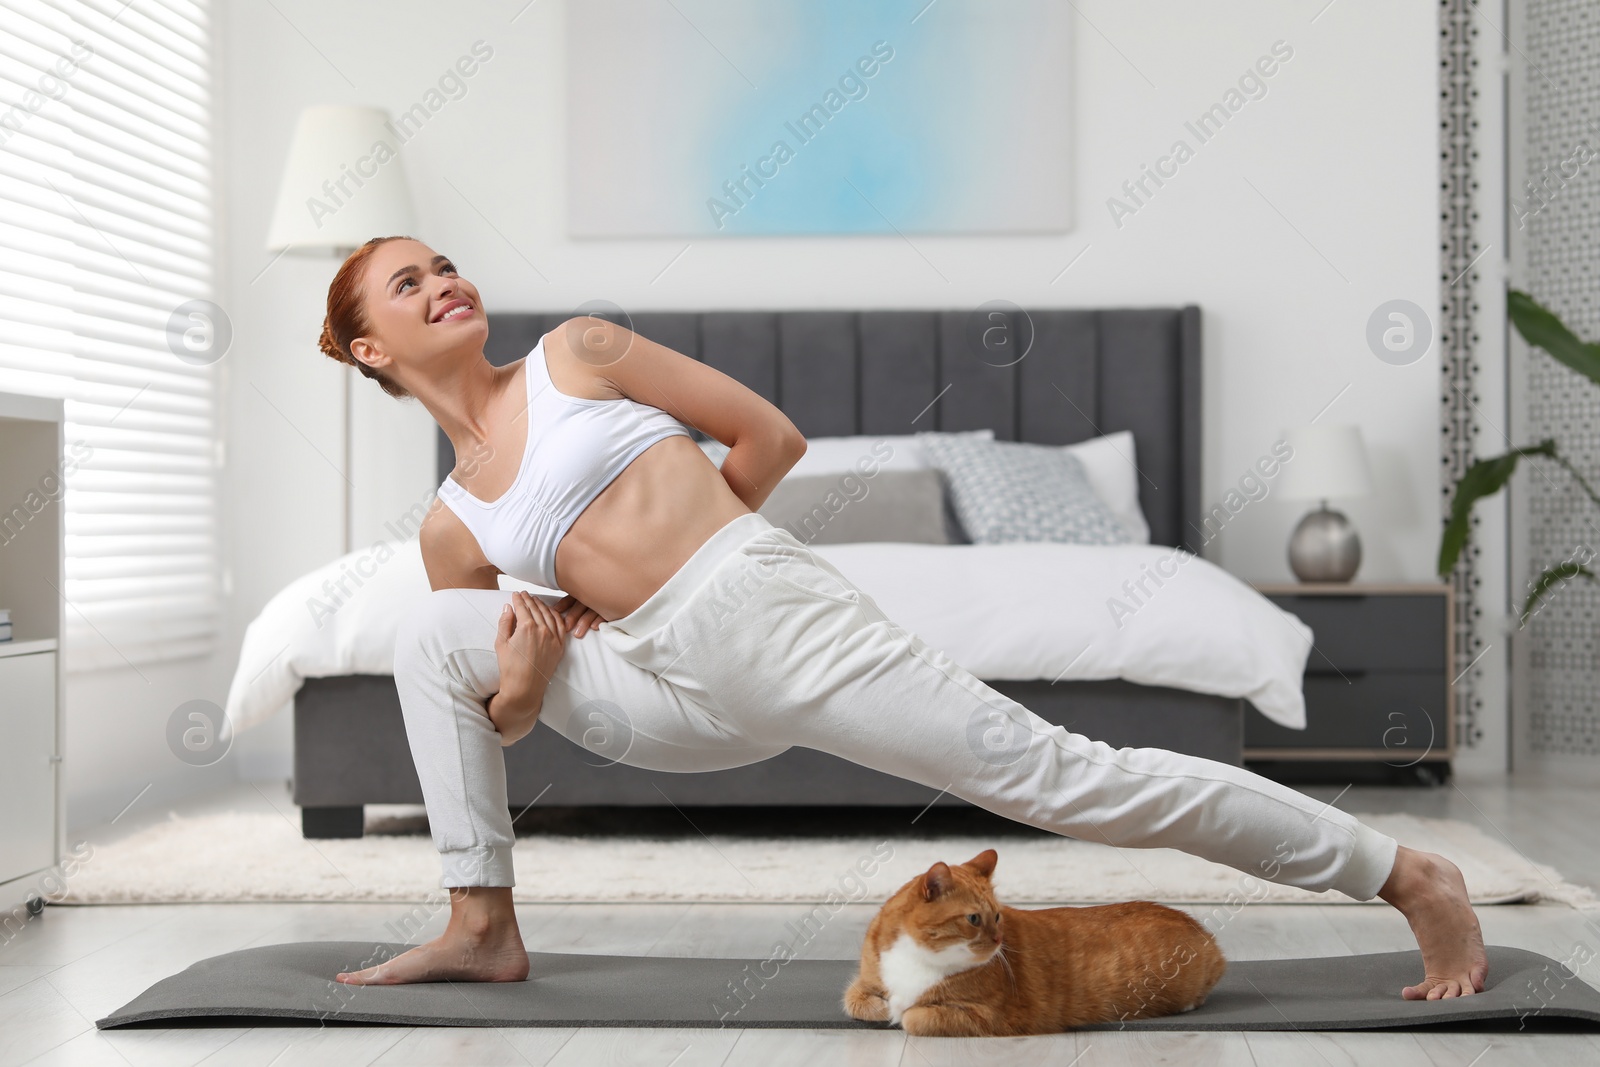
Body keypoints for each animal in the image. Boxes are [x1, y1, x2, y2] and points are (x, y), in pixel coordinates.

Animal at [851, 851, 1222, 1036]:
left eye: (998, 916)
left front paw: (899, 1012)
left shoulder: (990, 1017)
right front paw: (885, 1007)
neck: (921, 956)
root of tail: (1206, 935)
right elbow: (858, 1001)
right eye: (974, 919)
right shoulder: (865, 981)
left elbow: (913, 1017)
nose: (999, 940)